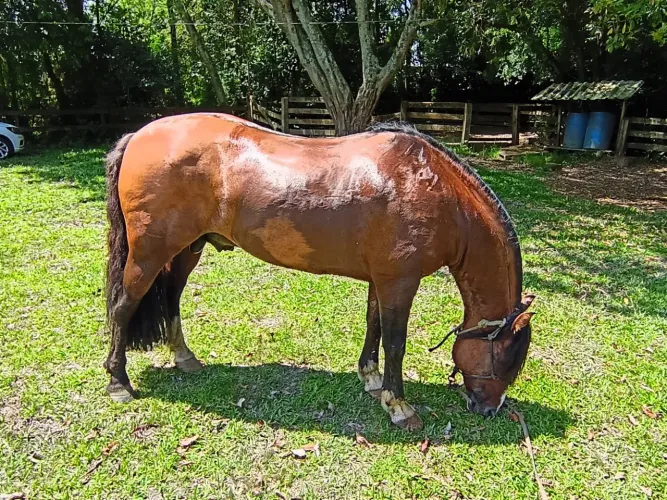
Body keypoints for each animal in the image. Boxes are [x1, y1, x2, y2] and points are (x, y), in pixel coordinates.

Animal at [103, 114, 535, 431]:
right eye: (506, 359)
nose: (489, 409)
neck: (433, 188)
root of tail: (137, 136)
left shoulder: (382, 280)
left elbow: (374, 326)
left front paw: (371, 379)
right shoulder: (400, 282)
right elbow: (395, 342)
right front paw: (399, 407)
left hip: (186, 250)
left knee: (171, 298)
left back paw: (184, 357)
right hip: (149, 254)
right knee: (124, 307)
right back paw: (118, 381)